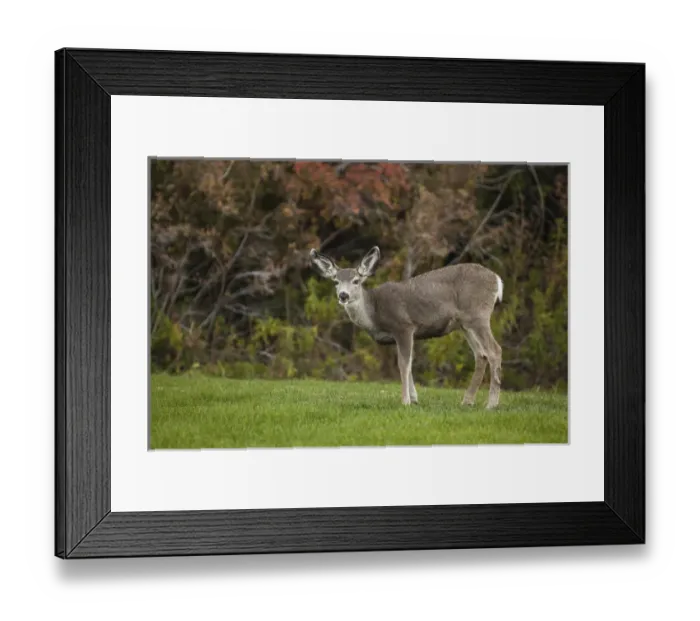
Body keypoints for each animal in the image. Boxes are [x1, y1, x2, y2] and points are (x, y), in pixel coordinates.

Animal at [309, 246, 504, 409]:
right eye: (336, 281)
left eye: (356, 281)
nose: (343, 295)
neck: (374, 312)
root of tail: (497, 279)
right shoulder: (400, 335)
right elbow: (408, 364)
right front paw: (414, 399)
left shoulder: (404, 326)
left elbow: (403, 364)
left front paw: (405, 401)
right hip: (465, 324)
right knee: (481, 354)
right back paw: (467, 401)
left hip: (478, 315)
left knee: (495, 350)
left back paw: (491, 404)